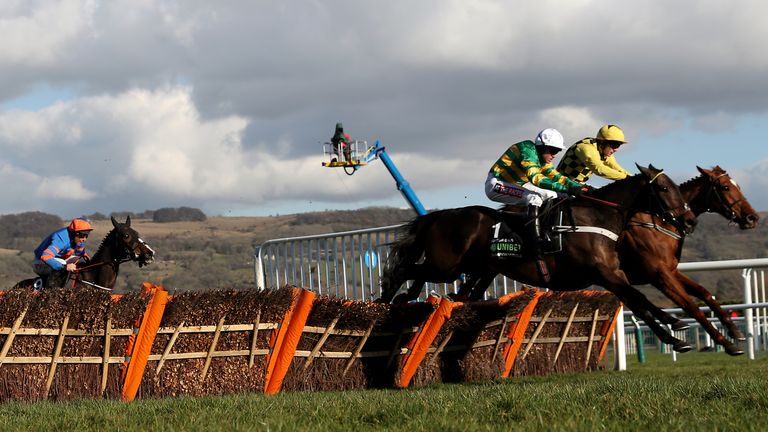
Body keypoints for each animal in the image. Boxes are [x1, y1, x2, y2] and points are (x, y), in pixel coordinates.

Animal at [380, 165, 700, 352]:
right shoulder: (604, 274)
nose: (689, 220)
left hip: (471, 268)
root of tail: (438, 216)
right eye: (664, 188)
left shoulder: (613, 275)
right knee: (404, 270)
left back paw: (406, 298)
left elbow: (639, 303)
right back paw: (387, 301)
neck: (596, 217)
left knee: (429, 280)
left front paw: (674, 334)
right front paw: (676, 325)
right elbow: (640, 299)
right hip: (446, 266)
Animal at [620, 165, 760, 354]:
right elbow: (690, 305)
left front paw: (734, 330)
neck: (663, 223)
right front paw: (725, 343)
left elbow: (704, 292)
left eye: (737, 185)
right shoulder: (658, 274)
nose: (752, 217)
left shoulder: (671, 271)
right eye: (725, 187)